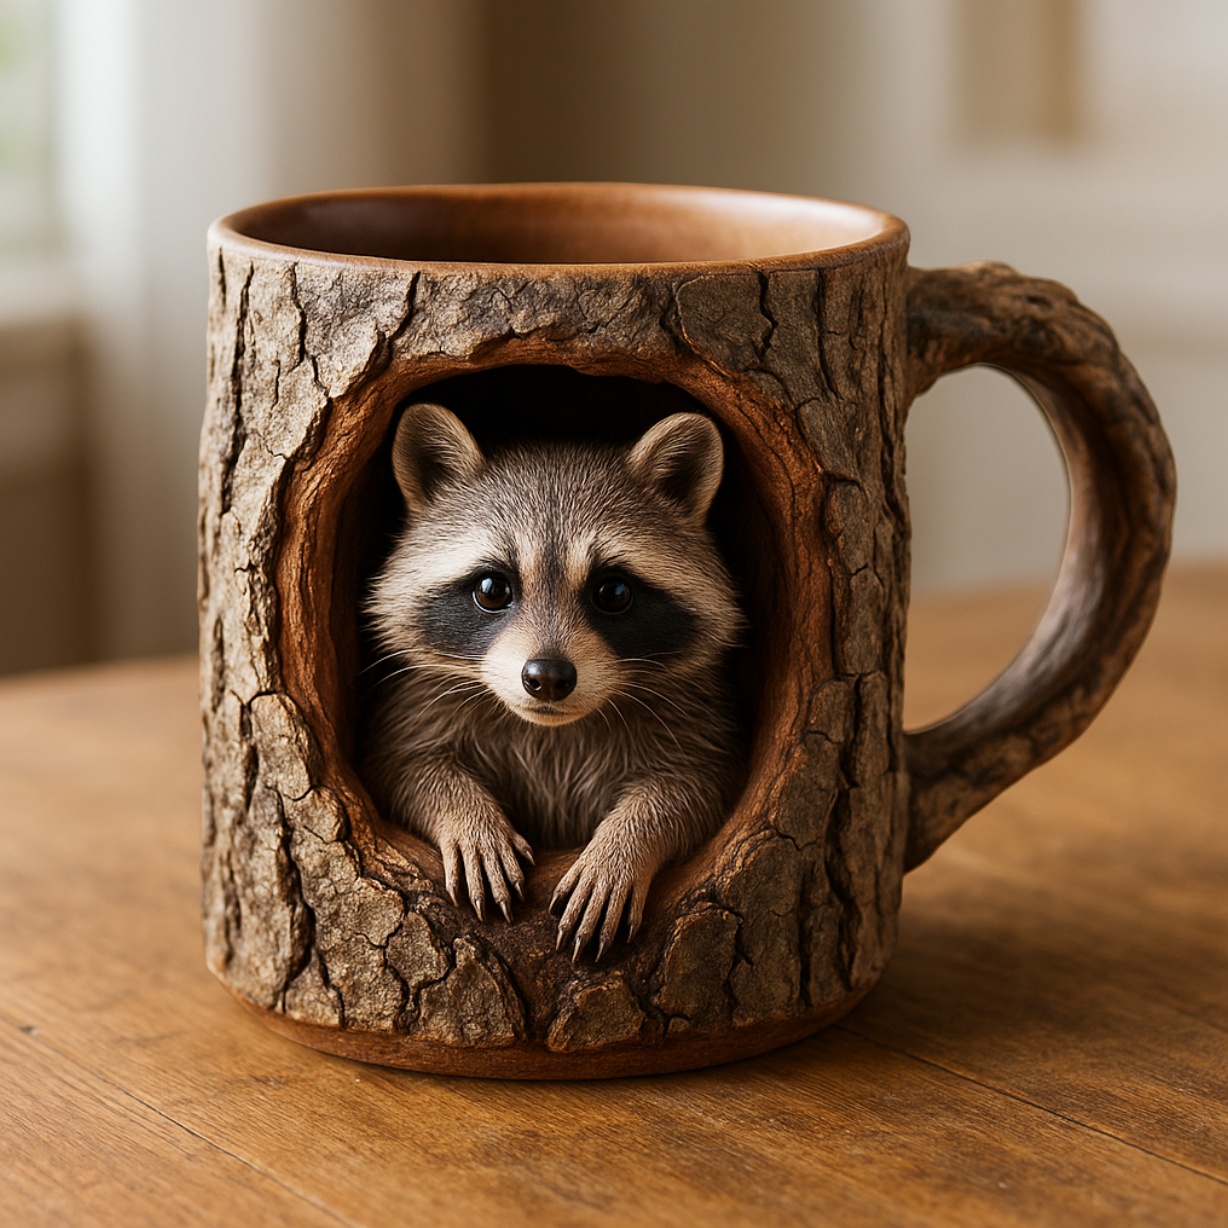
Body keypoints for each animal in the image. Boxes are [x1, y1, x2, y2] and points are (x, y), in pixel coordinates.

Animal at [363, 403, 744, 959]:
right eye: (492, 588)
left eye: (613, 592)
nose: (546, 678)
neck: (552, 729)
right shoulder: (420, 702)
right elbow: (405, 766)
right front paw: (466, 815)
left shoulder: (694, 716)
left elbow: (692, 787)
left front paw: (625, 845)